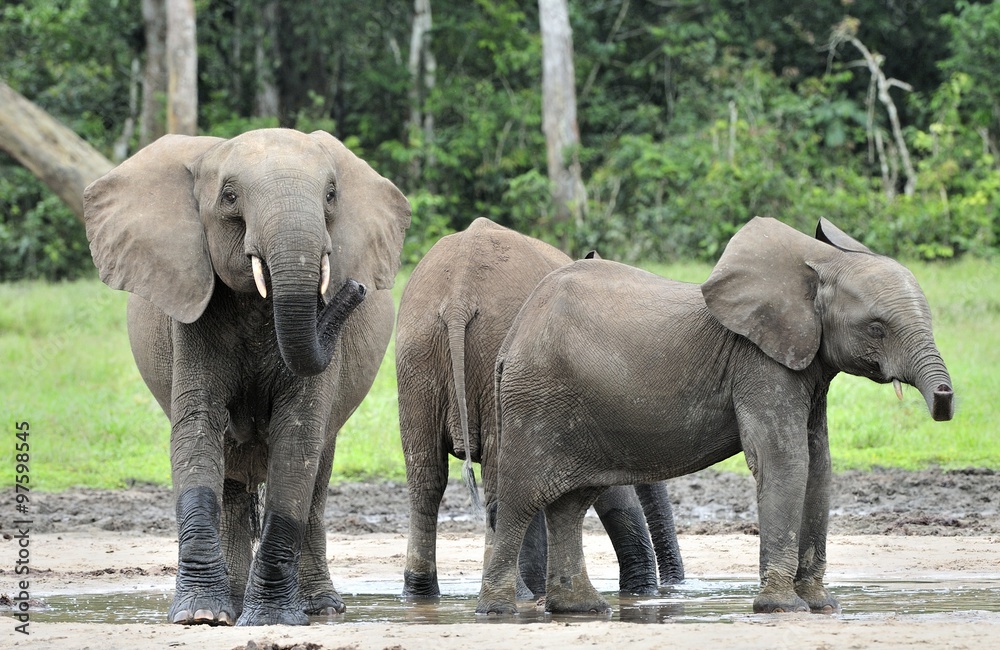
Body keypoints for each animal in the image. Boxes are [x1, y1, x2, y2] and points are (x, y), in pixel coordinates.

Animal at [83, 128, 410, 626]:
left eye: (331, 196)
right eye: (230, 197)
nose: (354, 287)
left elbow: (298, 440)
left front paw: (272, 619)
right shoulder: (191, 316)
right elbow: (197, 428)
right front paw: (200, 616)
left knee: (316, 478)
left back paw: (319, 607)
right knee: (232, 482)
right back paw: (232, 605)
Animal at [395, 217, 684, 599]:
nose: (674, 586)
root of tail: (459, 296)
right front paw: (639, 590)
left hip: (416, 353)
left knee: (426, 478)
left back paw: (422, 592)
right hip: (486, 349)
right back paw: (517, 593)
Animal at [477, 217, 954, 616]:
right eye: (876, 328)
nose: (945, 397)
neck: (818, 265)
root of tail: (512, 339)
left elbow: (819, 466)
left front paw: (823, 606)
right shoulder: (759, 363)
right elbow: (785, 462)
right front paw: (782, 609)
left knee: (571, 505)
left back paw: (581, 608)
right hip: (533, 402)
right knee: (520, 500)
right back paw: (499, 612)